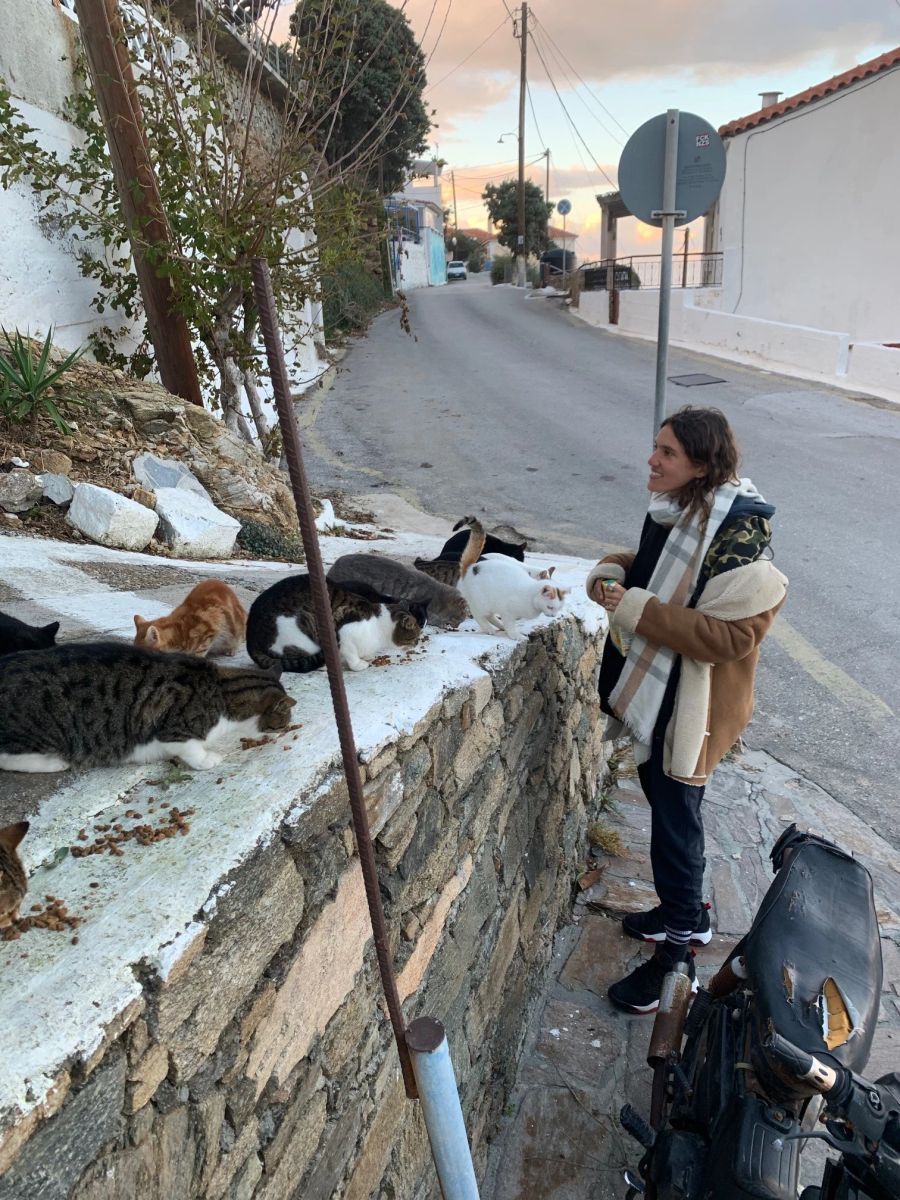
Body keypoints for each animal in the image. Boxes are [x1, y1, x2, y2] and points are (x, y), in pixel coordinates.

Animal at [0, 643, 296, 772]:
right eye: (283, 720)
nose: (285, 730)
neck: (224, 691)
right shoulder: (176, 730)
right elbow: (191, 748)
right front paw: (207, 759)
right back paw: (54, 763)